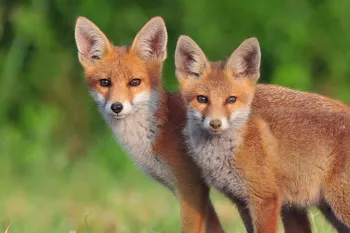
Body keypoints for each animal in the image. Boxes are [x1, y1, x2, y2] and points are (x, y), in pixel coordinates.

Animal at [175, 35, 350, 233]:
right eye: (202, 99)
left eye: (231, 99)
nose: (215, 123)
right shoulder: (241, 201)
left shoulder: (265, 198)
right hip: (328, 211)